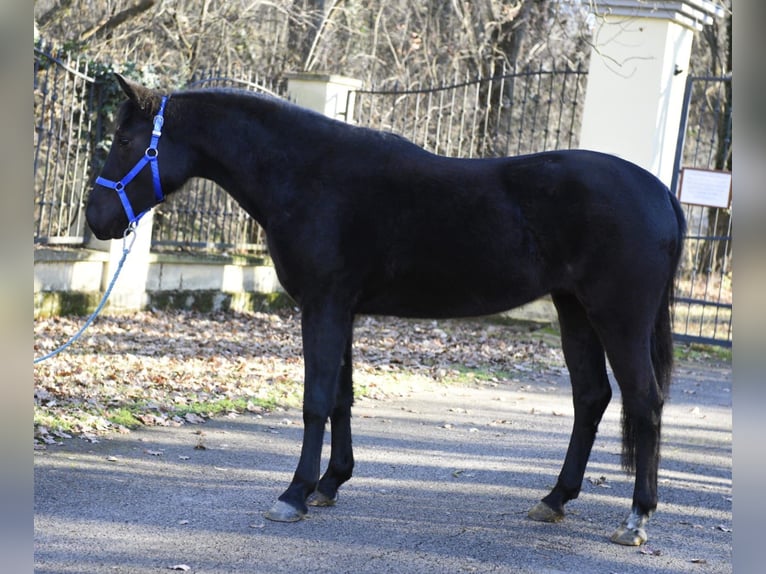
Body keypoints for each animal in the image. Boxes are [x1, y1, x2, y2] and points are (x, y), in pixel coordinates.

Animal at [86, 73, 686, 546]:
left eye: (125, 139)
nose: (96, 218)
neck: (308, 174)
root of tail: (660, 192)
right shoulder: (342, 309)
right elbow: (342, 398)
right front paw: (330, 484)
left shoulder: (324, 306)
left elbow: (316, 400)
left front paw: (294, 493)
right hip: (574, 310)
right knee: (592, 397)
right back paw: (555, 499)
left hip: (618, 317)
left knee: (645, 401)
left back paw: (636, 519)